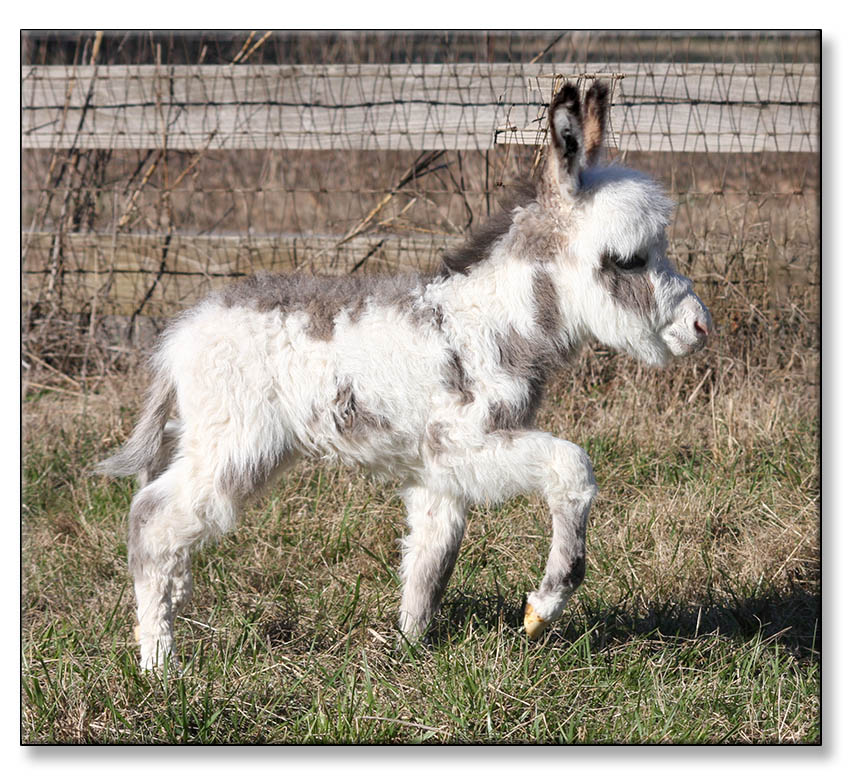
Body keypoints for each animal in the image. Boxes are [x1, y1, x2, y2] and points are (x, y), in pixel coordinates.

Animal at [97, 81, 712, 669]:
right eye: (629, 259)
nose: (700, 326)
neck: (489, 323)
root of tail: (179, 337)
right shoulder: (464, 443)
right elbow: (572, 467)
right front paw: (543, 606)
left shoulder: (440, 470)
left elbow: (431, 558)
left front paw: (411, 650)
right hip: (233, 443)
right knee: (151, 522)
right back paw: (160, 665)